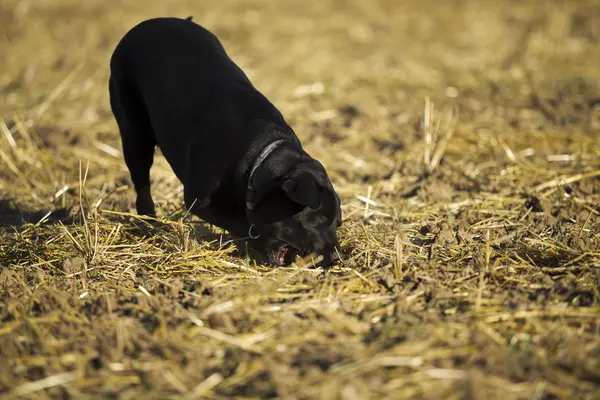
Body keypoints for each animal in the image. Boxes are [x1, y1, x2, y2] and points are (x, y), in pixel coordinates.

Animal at [108, 16, 342, 266]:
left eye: (337, 223)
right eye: (318, 218)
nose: (337, 256)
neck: (258, 161)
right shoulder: (198, 199)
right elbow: (241, 224)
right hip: (134, 135)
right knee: (142, 185)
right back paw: (151, 226)